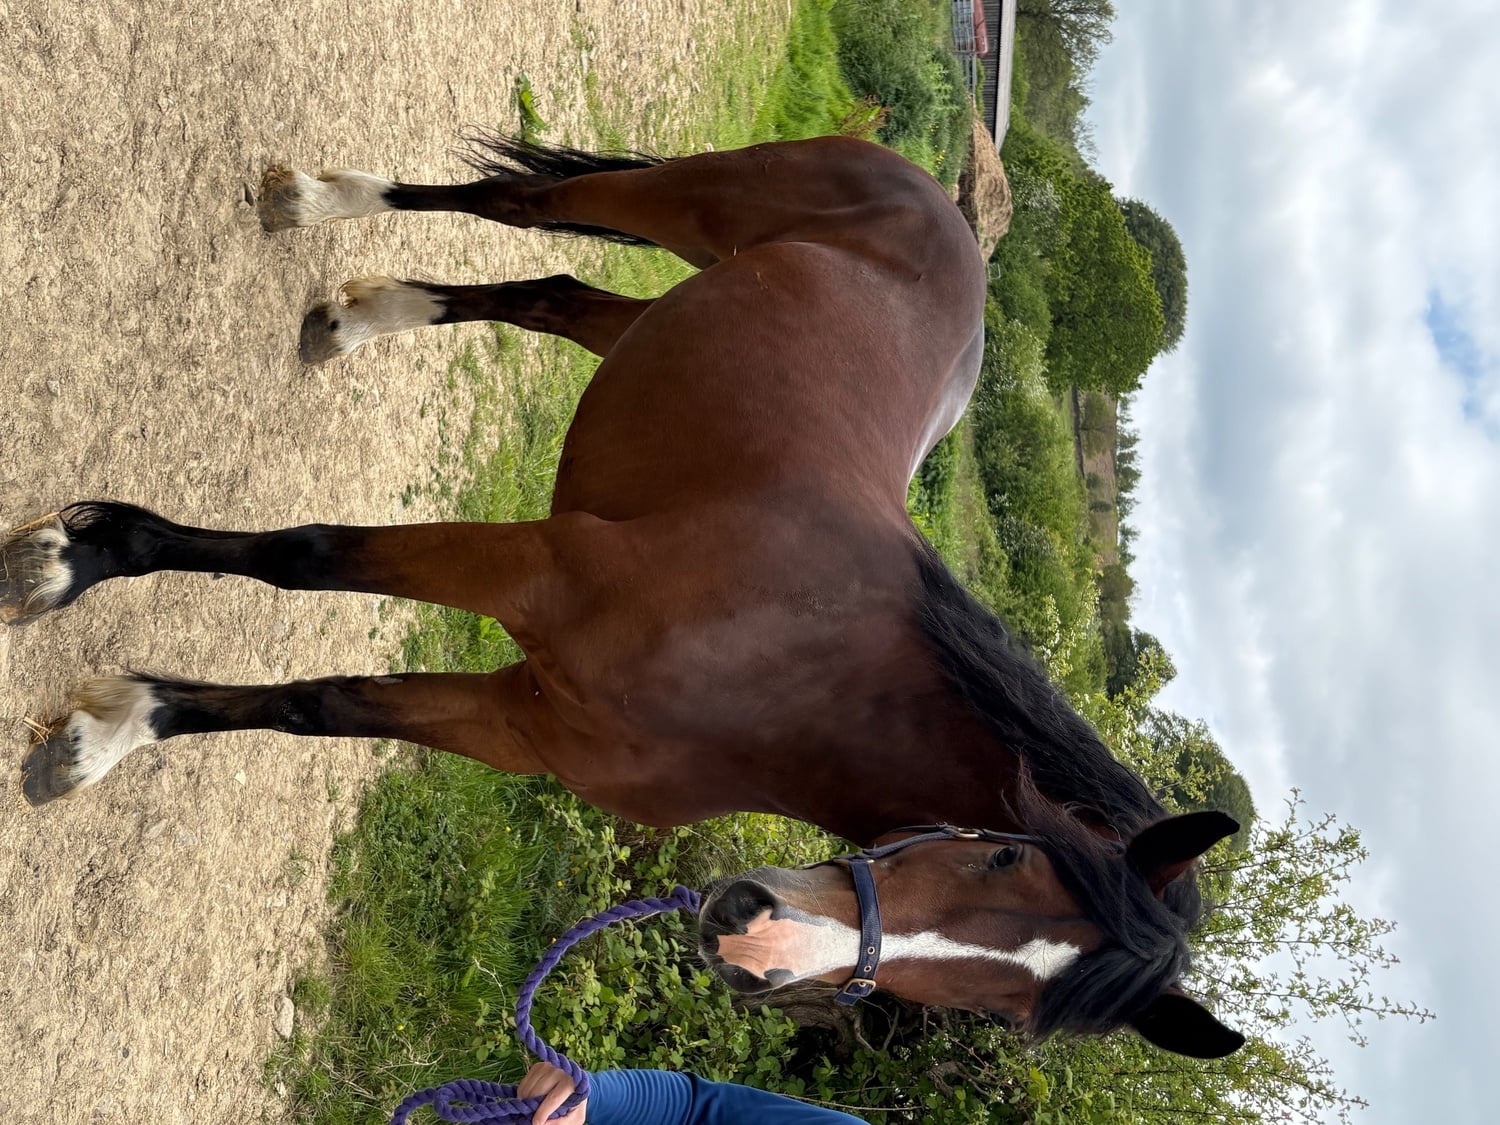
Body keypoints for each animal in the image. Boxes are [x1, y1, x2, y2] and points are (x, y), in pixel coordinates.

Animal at [3, 134, 1243, 1060]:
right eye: (1001, 858)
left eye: (1001, 1009)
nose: (752, 937)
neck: (795, 678)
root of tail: (945, 208)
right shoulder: (524, 570)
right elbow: (304, 555)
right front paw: (76, 564)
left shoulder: (521, 725)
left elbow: (323, 704)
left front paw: (116, 730)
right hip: (672, 203)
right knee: (523, 202)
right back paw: (315, 201)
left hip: (649, 321)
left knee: (553, 291)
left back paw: (360, 315)